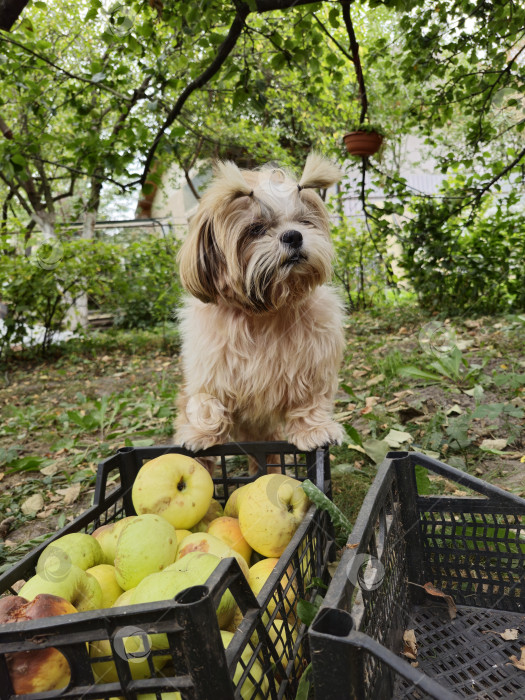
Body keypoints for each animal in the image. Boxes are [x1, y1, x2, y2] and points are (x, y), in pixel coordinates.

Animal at [176, 153, 346, 470]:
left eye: (304, 221)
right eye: (255, 229)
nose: (293, 235)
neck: (266, 311)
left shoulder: (314, 361)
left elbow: (310, 398)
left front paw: (313, 429)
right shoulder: (209, 368)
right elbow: (207, 400)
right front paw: (201, 433)